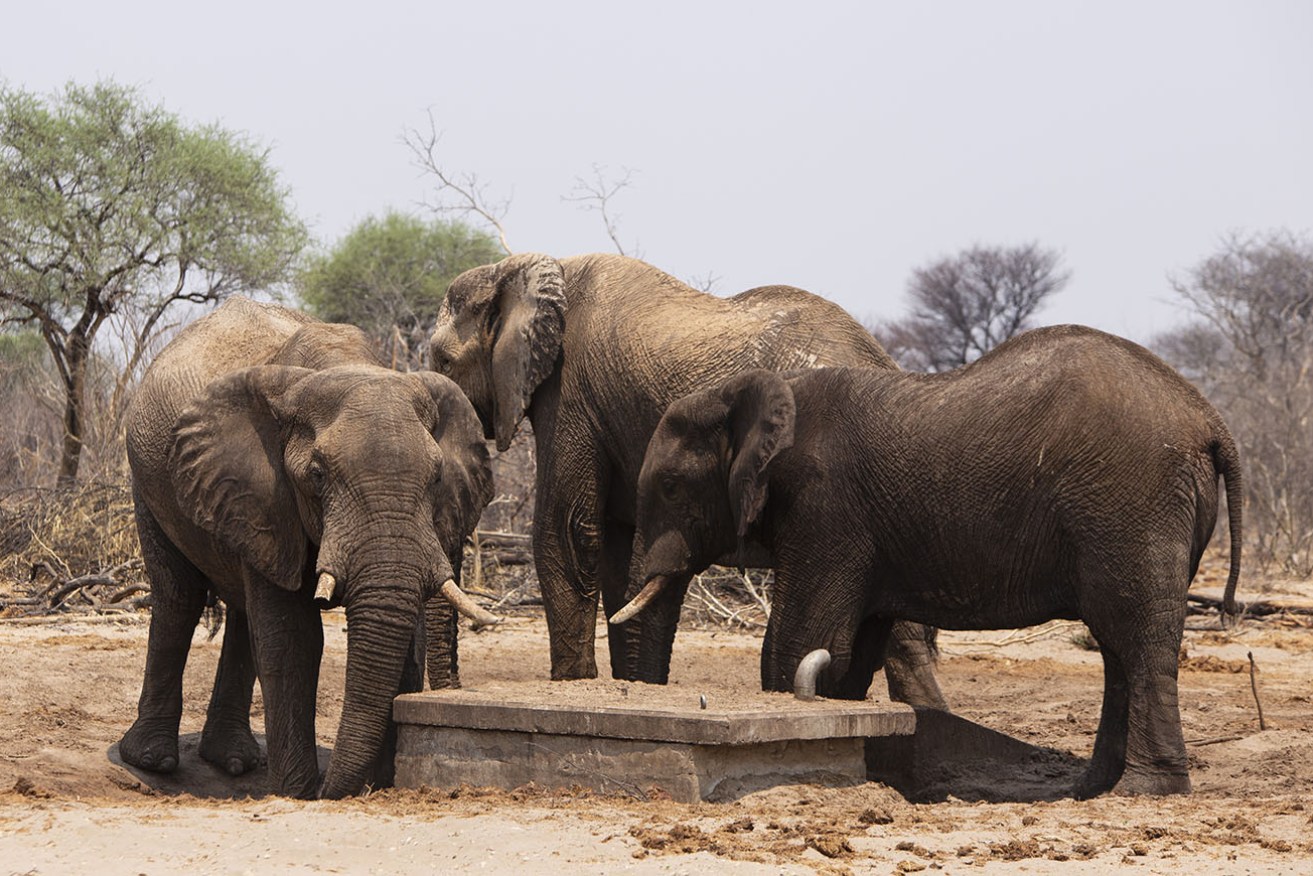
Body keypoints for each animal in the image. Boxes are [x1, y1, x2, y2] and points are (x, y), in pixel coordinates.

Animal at [118, 299, 493, 803]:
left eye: (436, 477)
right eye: (317, 475)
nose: (327, 789)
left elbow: (402, 634)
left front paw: (371, 785)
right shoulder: (266, 492)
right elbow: (295, 638)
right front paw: (296, 792)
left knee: (240, 612)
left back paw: (233, 760)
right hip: (148, 483)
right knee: (179, 599)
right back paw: (152, 760)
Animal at [430, 253, 945, 714]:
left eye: (443, 360)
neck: (526, 267)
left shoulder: (570, 390)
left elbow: (570, 531)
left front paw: (575, 683)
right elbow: (620, 550)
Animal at [619, 325, 1244, 798]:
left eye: (671, 487)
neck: (764, 391)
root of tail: (1212, 421)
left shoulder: (824, 509)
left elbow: (800, 642)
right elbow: (850, 652)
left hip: (1133, 506)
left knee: (1138, 640)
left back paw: (1144, 790)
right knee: (1119, 646)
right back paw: (1089, 790)